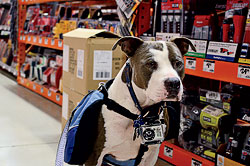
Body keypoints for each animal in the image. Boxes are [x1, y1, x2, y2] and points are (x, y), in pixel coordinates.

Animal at [84, 36, 195, 166]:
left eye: (178, 63)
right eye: (151, 63)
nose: (173, 82)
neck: (141, 112)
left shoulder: (151, 155)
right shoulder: (95, 156)